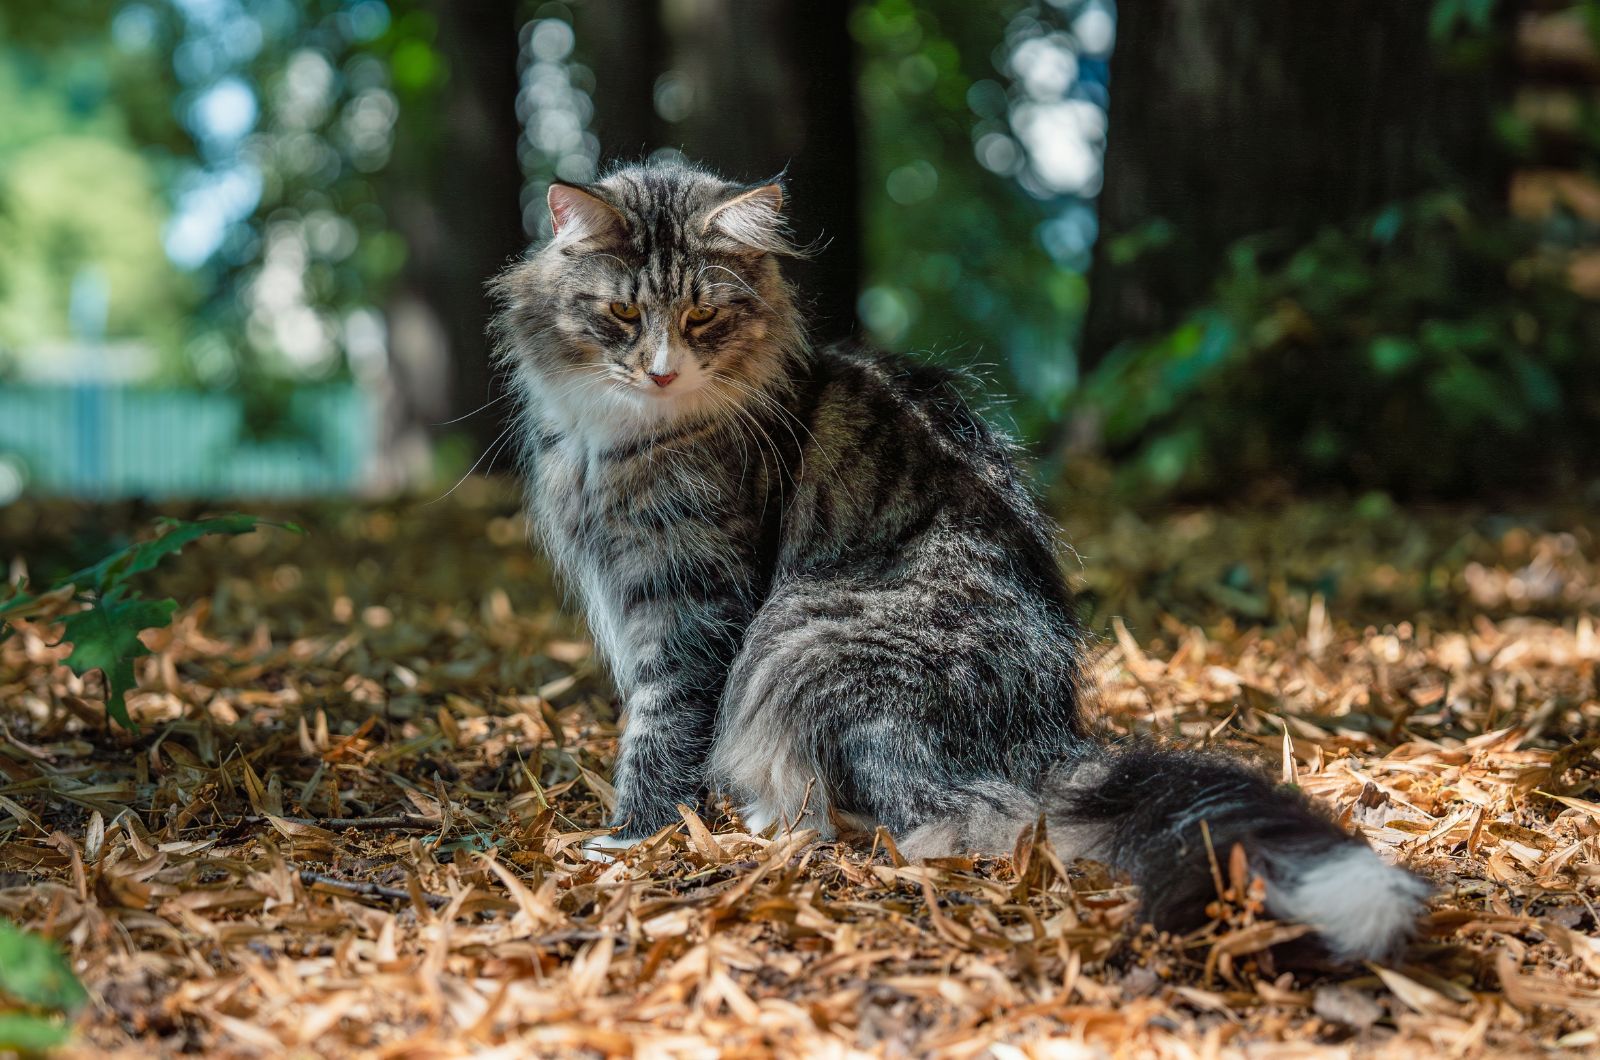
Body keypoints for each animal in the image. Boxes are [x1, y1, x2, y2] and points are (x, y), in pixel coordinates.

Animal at [486, 157, 1427, 960]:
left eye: (701, 319)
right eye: (620, 316)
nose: (661, 371)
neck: (619, 442)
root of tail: (1037, 734)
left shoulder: (691, 597)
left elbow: (663, 723)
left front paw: (633, 839)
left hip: (801, 639)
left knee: (930, 820)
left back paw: (778, 826)